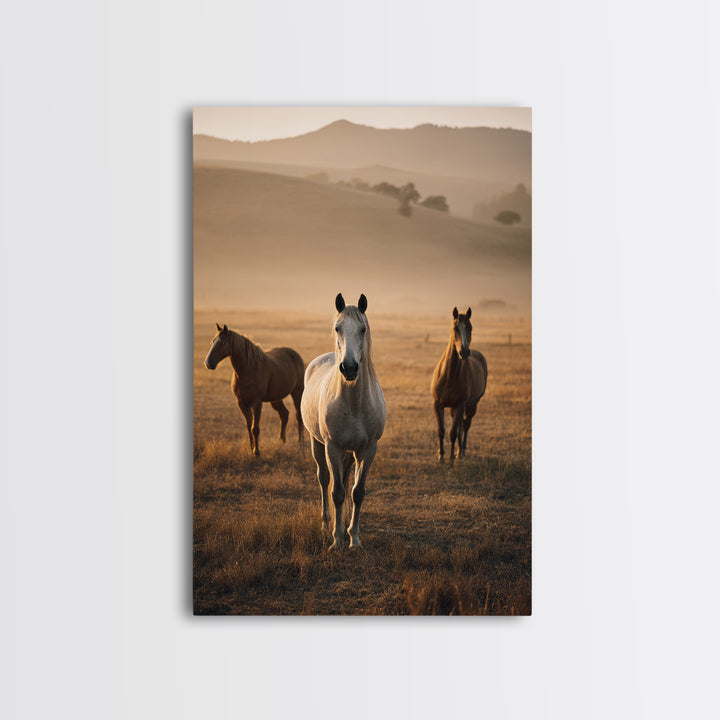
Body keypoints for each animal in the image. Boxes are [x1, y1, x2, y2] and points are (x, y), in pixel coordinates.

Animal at [204, 323, 305, 457]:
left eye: (222, 343)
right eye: (213, 341)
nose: (208, 363)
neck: (248, 370)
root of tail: (295, 355)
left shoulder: (256, 403)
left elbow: (255, 428)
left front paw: (256, 452)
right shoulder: (241, 403)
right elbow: (249, 426)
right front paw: (251, 448)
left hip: (297, 392)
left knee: (298, 415)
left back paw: (300, 442)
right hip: (276, 399)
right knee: (284, 415)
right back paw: (281, 441)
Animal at [301, 293, 386, 550]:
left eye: (363, 329)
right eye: (338, 328)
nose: (348, 368)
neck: (354, 405)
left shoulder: (367, 450)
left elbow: (357, 492)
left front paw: (354, 538)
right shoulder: (333, 448)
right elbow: (337, 492)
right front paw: (337, 540)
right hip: (317, 443)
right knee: (324, 480)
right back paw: (325, 525)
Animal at [431, 307, 488, 462]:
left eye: (470, 327)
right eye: (455, 327)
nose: (464, 352)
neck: (449, 376)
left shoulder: (459, 405)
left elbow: (452, 432)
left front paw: (450, 458)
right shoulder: (437, 404)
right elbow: (441, 431)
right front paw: (441, 456)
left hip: (471, 405)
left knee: (465, 425)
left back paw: (461, 451)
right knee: (461, 426)